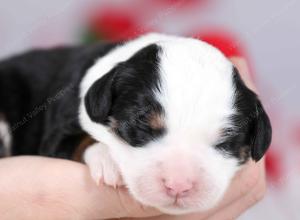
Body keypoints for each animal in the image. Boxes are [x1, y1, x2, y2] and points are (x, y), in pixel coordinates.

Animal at [0, 33, 272, 215]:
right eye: (141, 125)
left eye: (226, 142)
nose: (179, 186)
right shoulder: (59, 132)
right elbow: (83, 140)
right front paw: (107, 159)